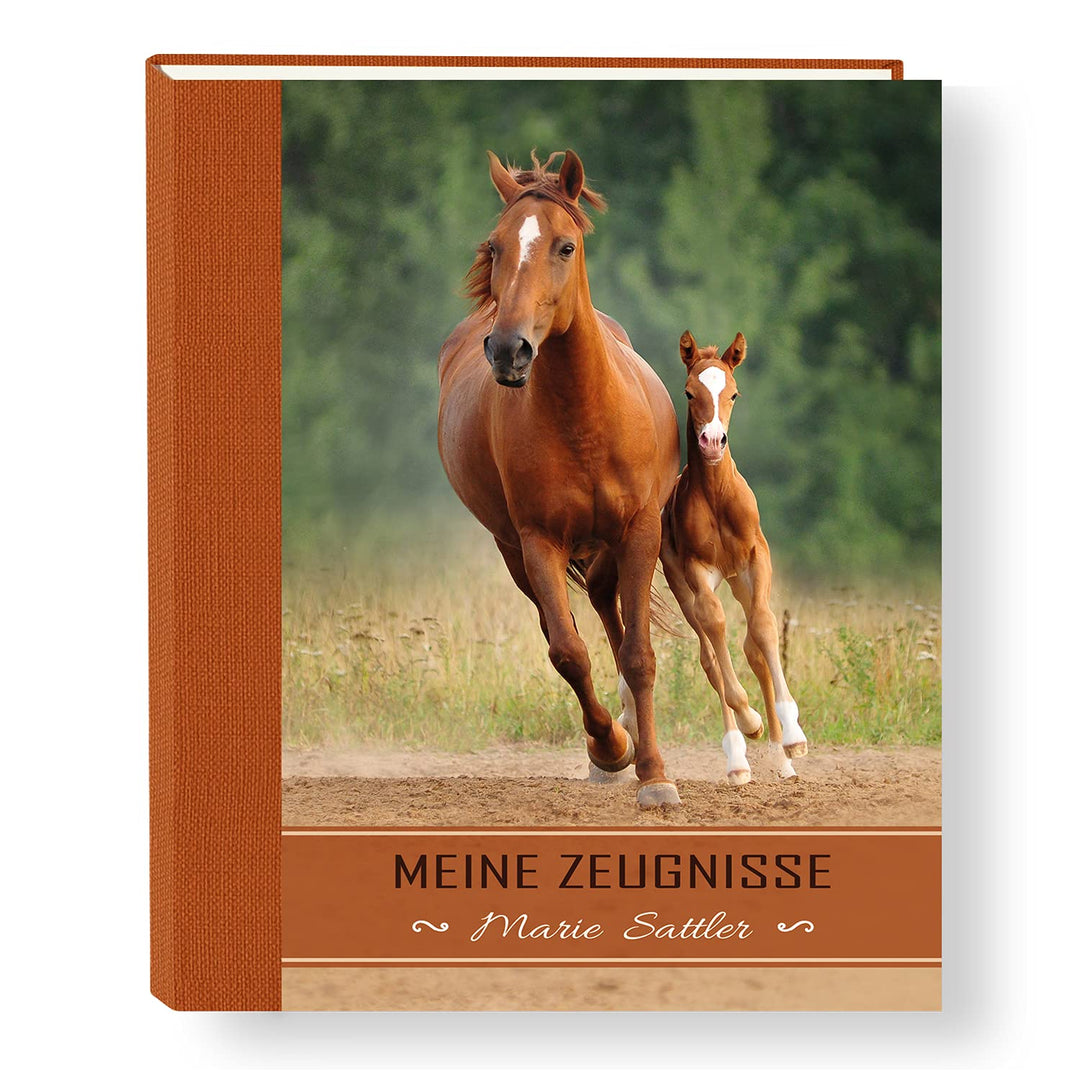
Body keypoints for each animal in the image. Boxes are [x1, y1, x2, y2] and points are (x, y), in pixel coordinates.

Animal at [437, 150, 682, 807]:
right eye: (495, 246)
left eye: (565, 246)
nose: (509, 350)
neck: (584, 418)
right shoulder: (538, 541)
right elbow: (568, 653)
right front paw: (611, 750)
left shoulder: (639, 531)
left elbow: (639, 654)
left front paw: (654, 775)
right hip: (514, 552)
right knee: (569, 625)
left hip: (609, 545)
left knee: (609, 612)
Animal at [659, 330, 808, 785]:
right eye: (689, 392)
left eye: (734, 393)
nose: (712, 442)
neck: (717, 497)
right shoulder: (698, 571)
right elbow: (715, 628)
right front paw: (750, 722)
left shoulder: (756, 557)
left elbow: (763, 628)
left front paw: (793, 736)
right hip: (682, 585)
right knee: (710, 655)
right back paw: (739, 759)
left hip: (739, 580)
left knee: (751, 647)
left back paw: (781, 758)